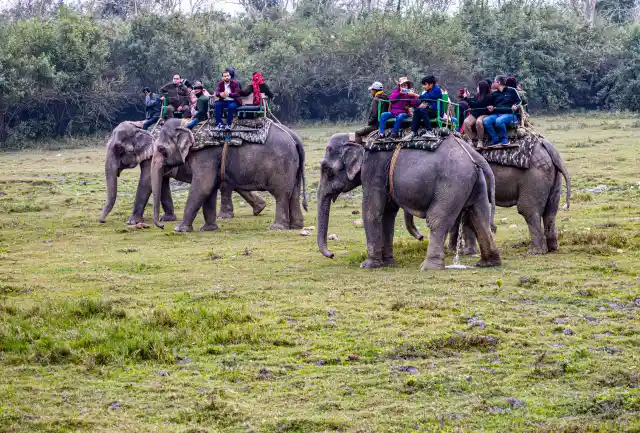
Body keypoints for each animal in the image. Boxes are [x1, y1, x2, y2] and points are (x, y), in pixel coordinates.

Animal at [97, 121, 266, 225]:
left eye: (119, 148)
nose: (101, 221)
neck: (140, 125)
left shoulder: (153, 154)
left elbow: (147, 180)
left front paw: (131, 222)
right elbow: (161, 182)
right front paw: (167, 219)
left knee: (226, 185)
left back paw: (224, 216)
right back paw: (260, 208)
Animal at [150, 118, 307, 232]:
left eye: (161, 148)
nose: (162, 225)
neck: (189, 126)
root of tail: (295, 138)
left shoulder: (205, 154)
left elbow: (203, 186)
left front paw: (180, 229)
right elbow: (210, 189)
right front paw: (208, 229)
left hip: (282, 164)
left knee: (281, 194)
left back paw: (276, 228)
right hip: (293, 166)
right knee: (294, 193)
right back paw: (296, 227)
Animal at [317, 133, 501, 271]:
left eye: (326, 169)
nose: (332, 254)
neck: (359, 139)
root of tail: (475, 155)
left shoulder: (373, 170)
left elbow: (372, 211)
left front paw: (368, 265)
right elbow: (388, 213)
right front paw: (388, 262)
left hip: (452, 183)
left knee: (437, 220)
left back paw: (428, 267)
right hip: (475, 182)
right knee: (479, 217)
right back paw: (487, 263)